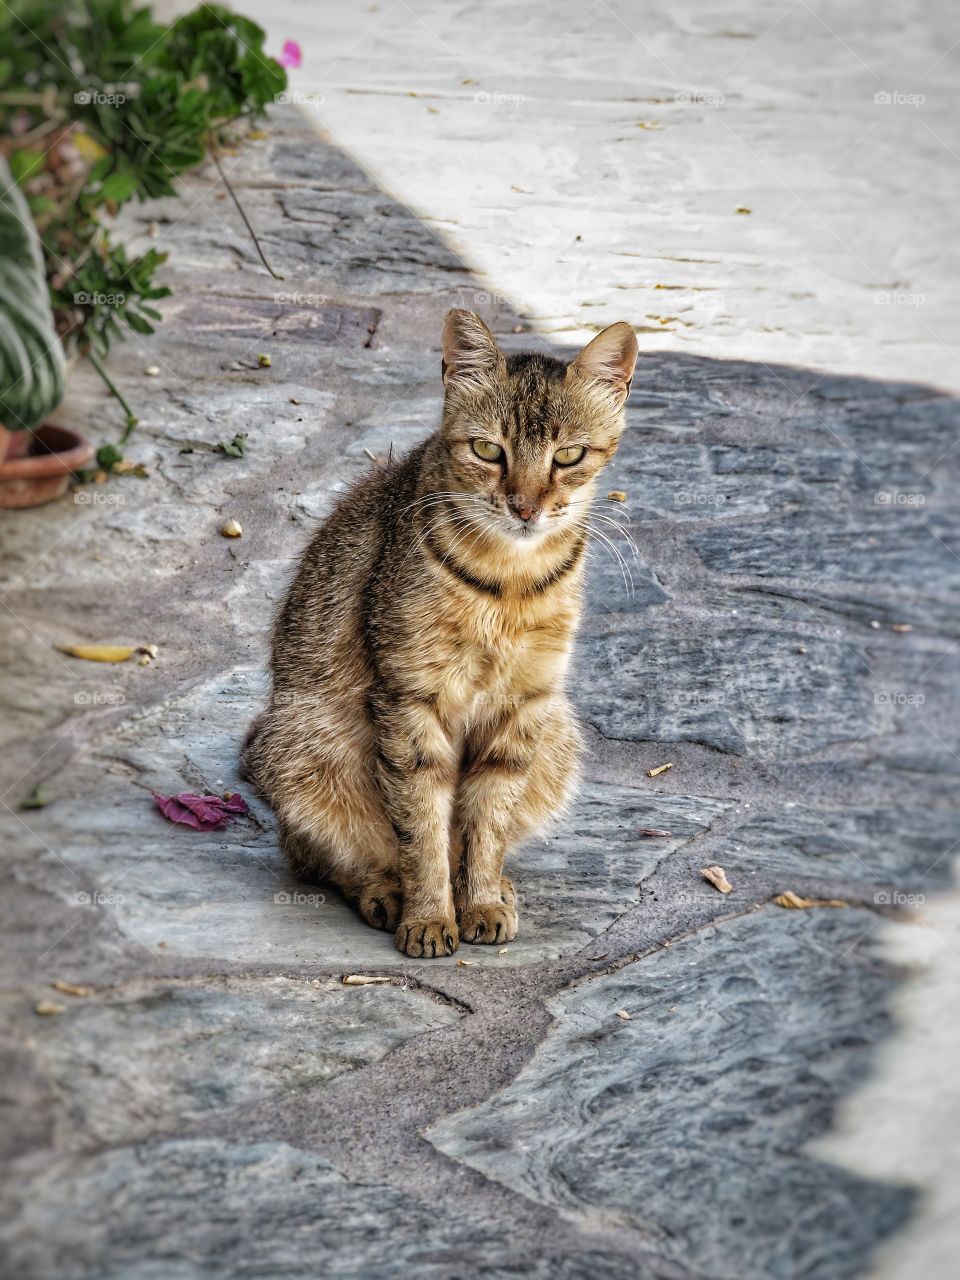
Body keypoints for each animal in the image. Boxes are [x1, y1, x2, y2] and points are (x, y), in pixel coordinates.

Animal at [241, 307, 640, 952]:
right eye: (487, 450)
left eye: (568, 456)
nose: (524, 507)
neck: (510, 584)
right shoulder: (410, 697)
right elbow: (422, 825)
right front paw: (429, 915)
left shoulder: (524, 704)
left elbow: (484, 824)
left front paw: (479, 899)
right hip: (304, 745)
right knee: (318, 854)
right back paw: (384, 891)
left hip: (558, 733)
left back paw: (496, 888)